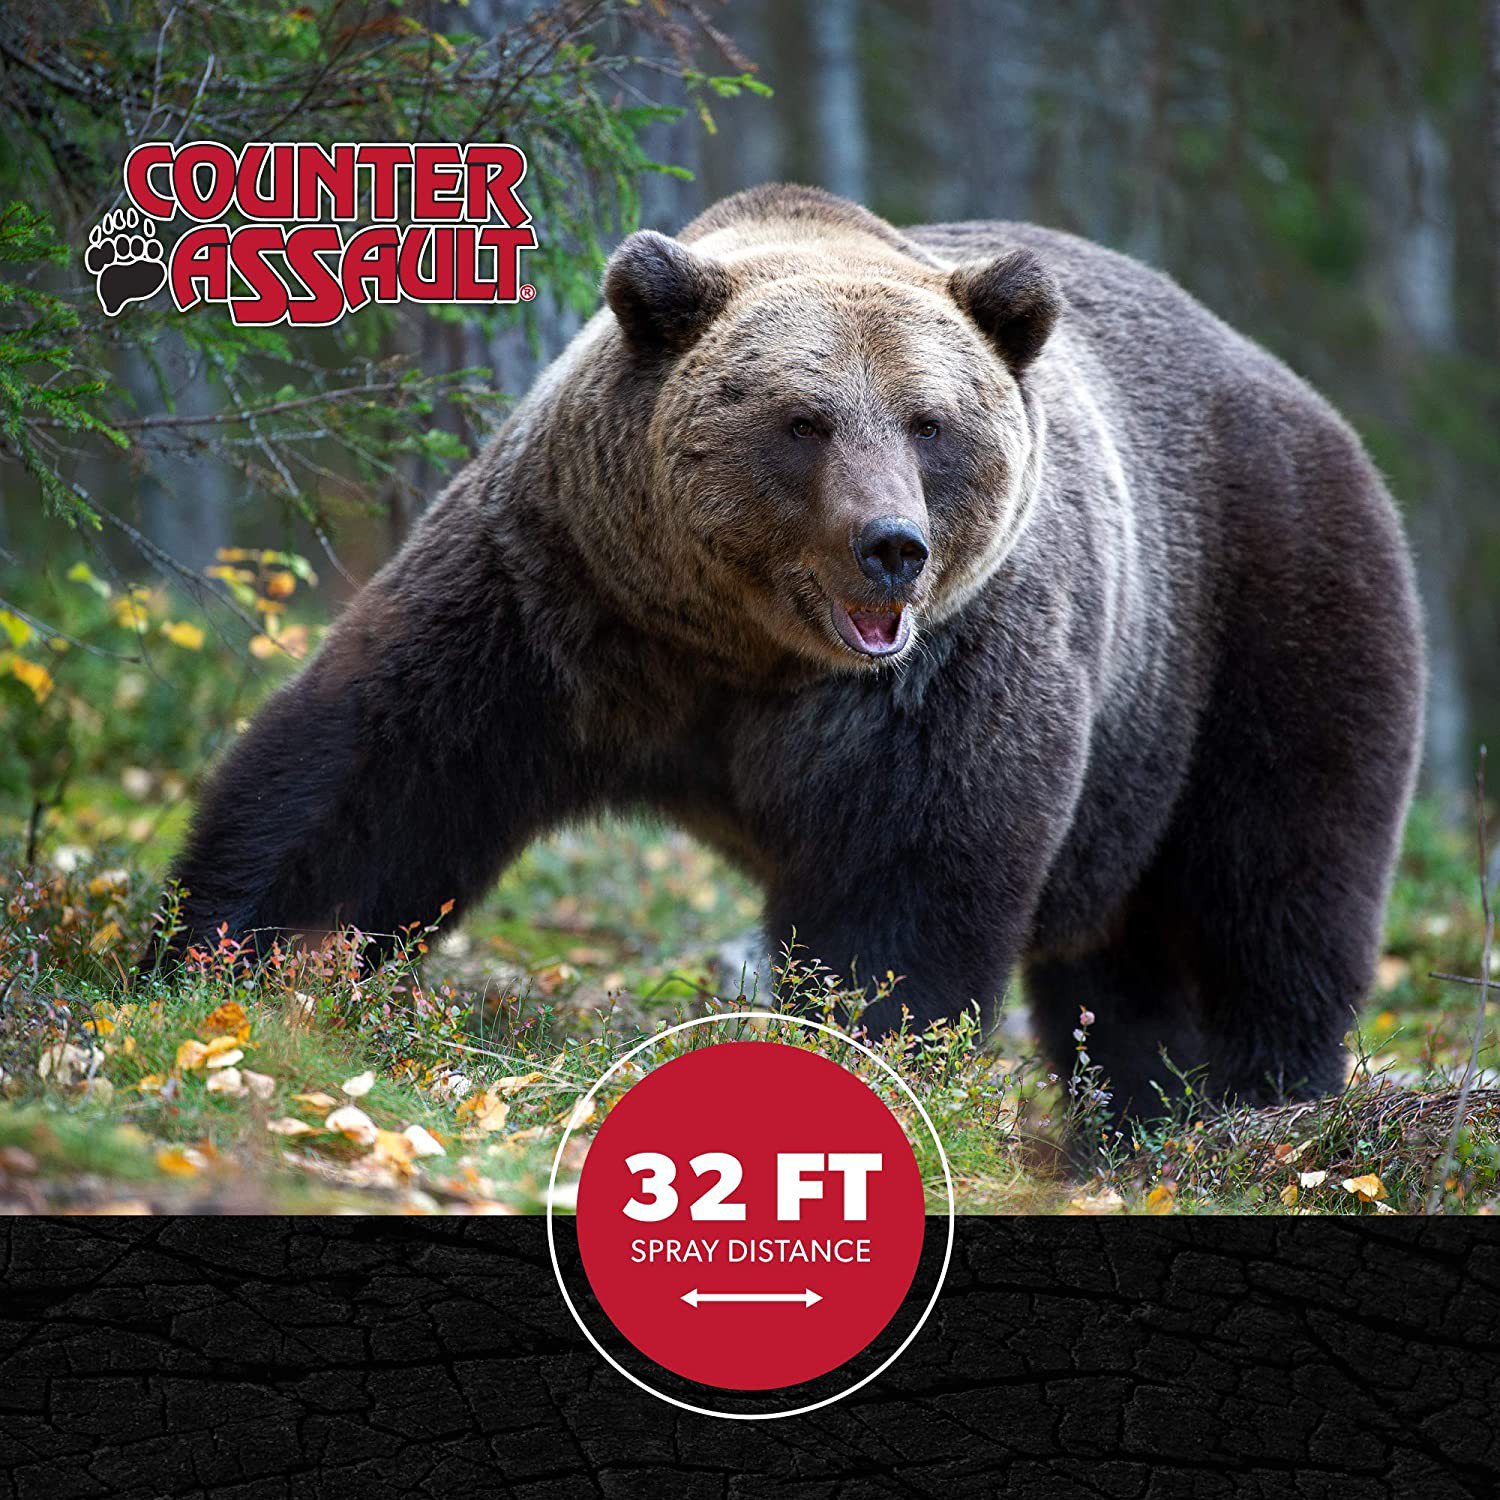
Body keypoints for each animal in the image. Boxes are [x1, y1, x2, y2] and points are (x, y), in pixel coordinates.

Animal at [159, 183, 1425, 1118]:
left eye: (930, 423)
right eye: (804, 421)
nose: (893, 547)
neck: (737, 648)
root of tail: (1301, 396)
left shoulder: (938, 673)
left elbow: (906, 884)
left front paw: (875, 1056)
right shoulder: (557, 594)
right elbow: (381, 777)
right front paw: (216, 963)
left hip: (1258, 612)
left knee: (1272, 883)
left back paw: (1259, 1100)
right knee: (1127, 970)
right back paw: (1143, 1114)